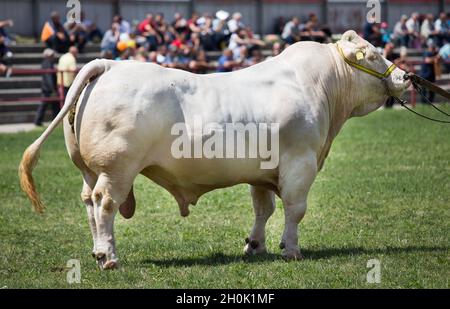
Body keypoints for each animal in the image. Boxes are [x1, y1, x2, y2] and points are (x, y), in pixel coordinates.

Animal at [18, 30, 412, 268]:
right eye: (372, 55)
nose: (404, 77)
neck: (320, 85)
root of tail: (109, 64)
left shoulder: (263, 171)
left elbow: (263, 209)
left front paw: (255, 245)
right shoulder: (300, 163)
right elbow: (294, 209)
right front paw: (291, 249)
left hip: (89, 168)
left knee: (88, 202)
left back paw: (97, 250)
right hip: (117, 169)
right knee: (105, 204)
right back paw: (108, 255)